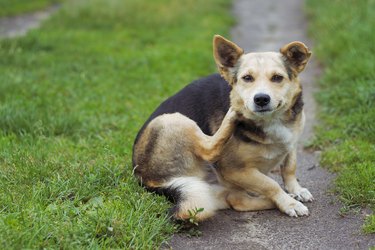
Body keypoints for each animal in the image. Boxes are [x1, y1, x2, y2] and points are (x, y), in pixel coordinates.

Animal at [132, 34, 314, 221]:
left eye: (277, 78)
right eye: (247, 78)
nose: (261, 99)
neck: (272, 120)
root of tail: (145, 179)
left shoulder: (291, 141)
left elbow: (289, 167)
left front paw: (295, 191)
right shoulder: (234, 169)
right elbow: (270, 184)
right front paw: (289, 203)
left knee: (237, 201)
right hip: (173, 119)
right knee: (210, 150)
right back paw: (233, 114)